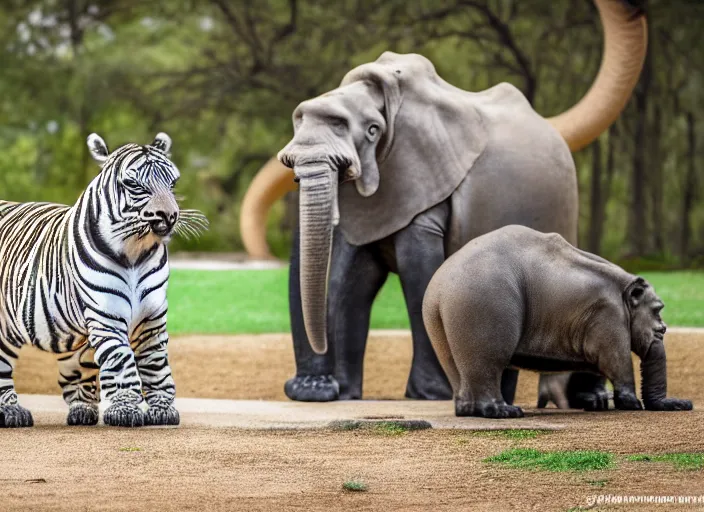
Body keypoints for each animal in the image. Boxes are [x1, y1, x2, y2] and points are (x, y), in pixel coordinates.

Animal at [0, 133, 208, 428]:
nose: (169, 216)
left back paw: (82, 411)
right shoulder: (106, 314)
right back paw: (11, 412)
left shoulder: (153, 316)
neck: (135, 251)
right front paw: (124, 411)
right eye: (133, 184)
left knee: (75, 372)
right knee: (3, 368)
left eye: (173, 183)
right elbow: (122, 361)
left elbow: (155, 363)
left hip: (70, 335)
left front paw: (162, 410)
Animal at [239, 0, 648, 404]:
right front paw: (344, 395)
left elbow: (418, 266)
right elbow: (352, 278)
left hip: (564, 201)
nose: (309, 387)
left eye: (372, 131)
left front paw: (428, 395)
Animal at [424, 226, 692, 418]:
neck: (625, 285)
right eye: (658, 309)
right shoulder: (608, 315)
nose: (685, 403)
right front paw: (631, 404)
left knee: (454, 365)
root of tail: (440, 285)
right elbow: (614, 360)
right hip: (485, 304)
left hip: (439, 316)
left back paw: (468, 410)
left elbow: (594, 363)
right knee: (490, 362)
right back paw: (503, 412)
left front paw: (596, 403)